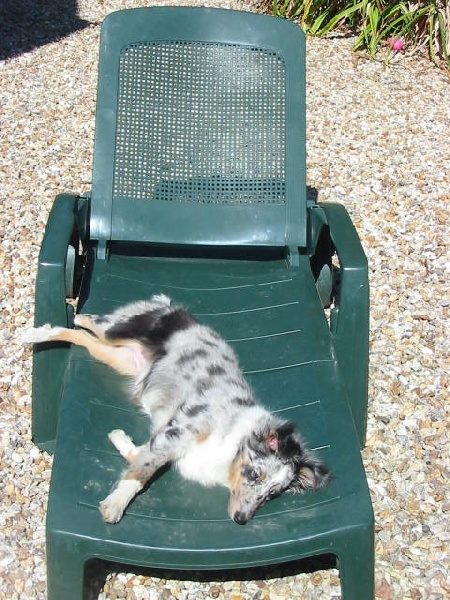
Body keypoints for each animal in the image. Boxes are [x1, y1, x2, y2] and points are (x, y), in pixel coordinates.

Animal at [22, 294, 331, 525]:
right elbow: (142, 473)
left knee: (81, 337)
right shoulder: (179, 431)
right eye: (254, 475)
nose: (241, 519)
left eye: (272, 495)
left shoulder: (166, 438)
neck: (231, 442)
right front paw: (115, 506)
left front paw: (118, 437)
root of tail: (171, 306)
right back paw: (43, 329)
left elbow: (137, 455)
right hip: (116, 331)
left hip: (117, 357)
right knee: (90, 322)